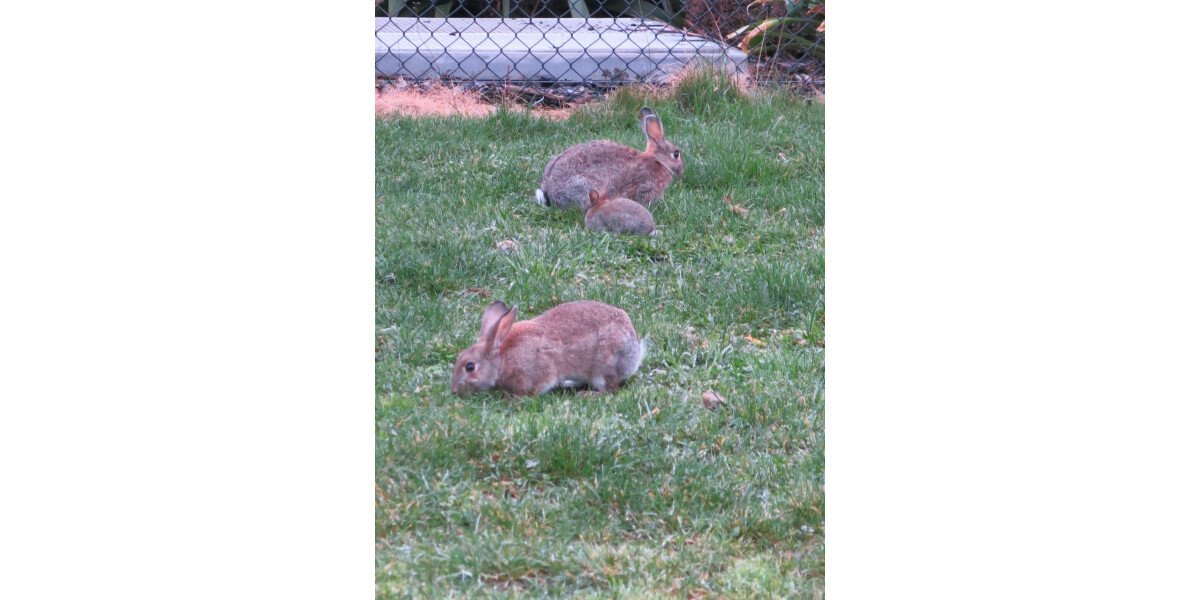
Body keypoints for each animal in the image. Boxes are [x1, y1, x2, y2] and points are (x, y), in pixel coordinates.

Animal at [450, 300, 645, 397]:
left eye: (470, 367)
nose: (454, 390)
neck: (501, 359)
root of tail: (634, 346)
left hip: (603, 368)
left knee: (610, 389)